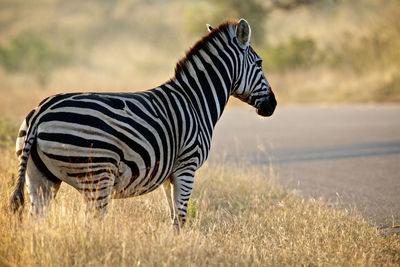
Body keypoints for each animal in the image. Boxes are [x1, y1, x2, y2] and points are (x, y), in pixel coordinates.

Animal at [10, 18, 276, 228]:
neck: (195, 100)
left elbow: (172, 217)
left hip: (39, 177)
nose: (272, 106)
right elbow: (181, 218)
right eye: (260, 63)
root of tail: (40, 112)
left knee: (37, 221)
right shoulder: (187, 167)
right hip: (97, 174)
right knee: (92, 223)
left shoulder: (169, 175)